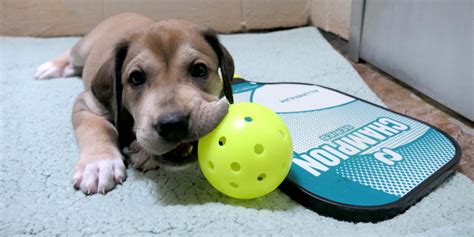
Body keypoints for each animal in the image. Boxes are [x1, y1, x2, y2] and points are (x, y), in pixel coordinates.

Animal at [34, 12, 234, 194]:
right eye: (136, 78)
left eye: (200, 70)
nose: (173, 125)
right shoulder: (87, 104)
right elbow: (98, 128)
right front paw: (99, 164)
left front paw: (143, 152)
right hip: (83, 50)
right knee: (71, 53)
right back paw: (51, 67)